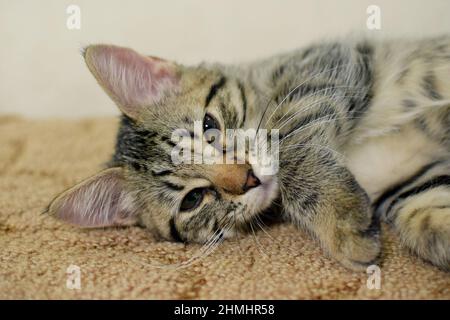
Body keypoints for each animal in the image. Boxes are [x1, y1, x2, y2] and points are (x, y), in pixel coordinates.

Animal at [48, 36, 450, 272]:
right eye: (192, 199)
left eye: (210, 126)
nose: (248, 179)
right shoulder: (407, 181)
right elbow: (426, 215)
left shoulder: (321, 70)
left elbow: (291, 143)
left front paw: (340, 219)